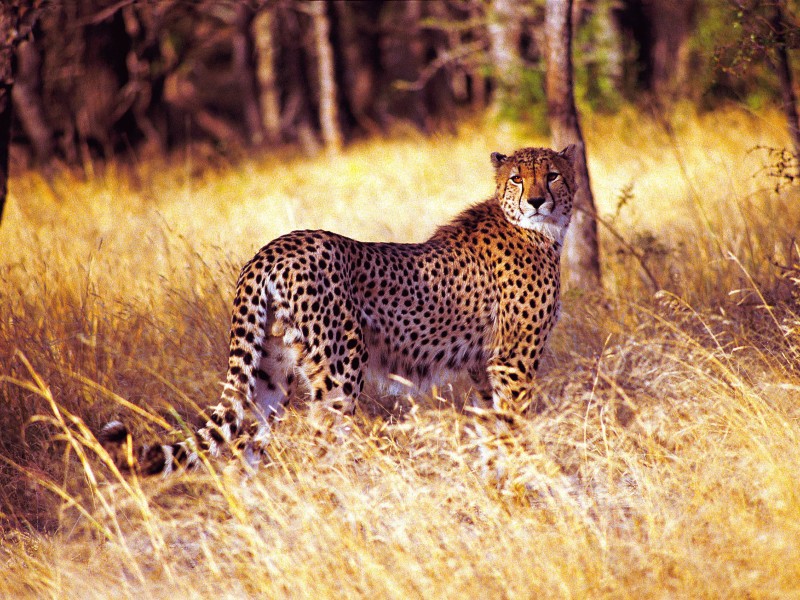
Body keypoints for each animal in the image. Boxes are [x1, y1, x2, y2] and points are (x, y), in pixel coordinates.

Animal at [100, 145, 577, 476]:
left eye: (552, 175)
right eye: (516, 178)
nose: (537, 201)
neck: (536, 230)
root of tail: (273, 248)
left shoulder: (483, 365)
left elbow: (491, 432)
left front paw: (495, 484)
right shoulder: (513, 361)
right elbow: (514, 429)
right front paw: (523, 489)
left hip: (268, 372)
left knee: (245, 446)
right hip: (341, 369)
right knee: (320, 448)